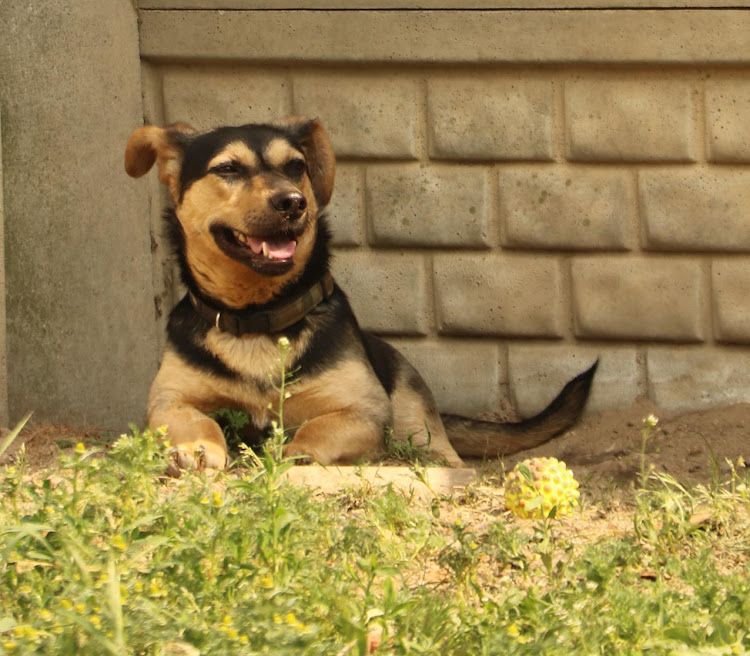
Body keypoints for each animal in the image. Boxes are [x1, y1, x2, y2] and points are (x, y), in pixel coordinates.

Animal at [125, 115, 600, 468]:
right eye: (227, 169)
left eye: (295, 166)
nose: (293, 202)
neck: (259, 316)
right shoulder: (168, 400)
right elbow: (192, 419)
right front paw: (198, 446)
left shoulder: (363, 409)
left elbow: (319, 426)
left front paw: (296, 452)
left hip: (412, 406)